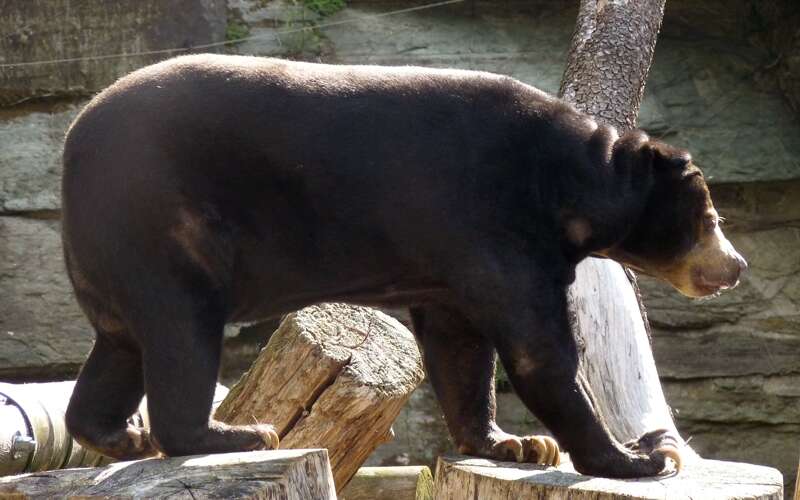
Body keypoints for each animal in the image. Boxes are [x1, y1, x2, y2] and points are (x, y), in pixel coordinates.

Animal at [61, 53, 744, 476]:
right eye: (710, 217)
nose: (736, 266)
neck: (570, 187)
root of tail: (71, 145)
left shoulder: (447, 261)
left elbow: (459, 350)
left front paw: (517, 444)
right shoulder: (496, 224)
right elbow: (539, 354)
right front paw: (640, 459)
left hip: (118, 254)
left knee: (121, 347)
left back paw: (121, 435)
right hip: (162, 227)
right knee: (182, 333)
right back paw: (241, 434)